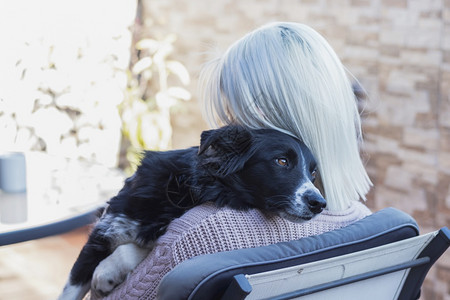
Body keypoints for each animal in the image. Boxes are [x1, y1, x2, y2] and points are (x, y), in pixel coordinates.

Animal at [60, 126, 326, 300]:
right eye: (281, 161)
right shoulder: (103, 232)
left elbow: (138, 250)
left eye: (313, 174)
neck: (185, 192)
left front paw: (106, 272)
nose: (320, 203)